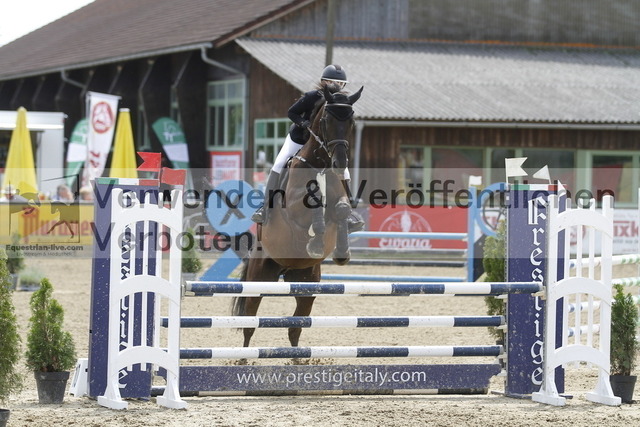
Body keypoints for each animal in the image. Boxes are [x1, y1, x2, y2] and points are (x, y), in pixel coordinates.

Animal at [232, 85, 364, 348]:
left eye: (351, 121)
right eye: (326, 120)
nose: (339, 163)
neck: (320, 164)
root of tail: (285, 269)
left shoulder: (340, 200)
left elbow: (341, 210)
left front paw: (338, 250)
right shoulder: (293, 207)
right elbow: (314, 203)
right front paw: (316, 240)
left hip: (306, 285)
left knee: (296, 327)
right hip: (260, 277)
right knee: (250, 322)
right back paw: (243, 355)